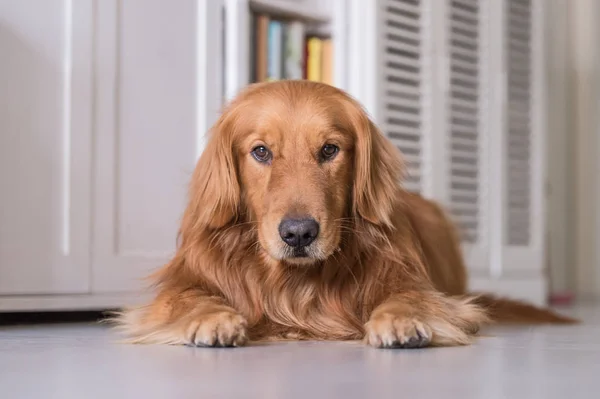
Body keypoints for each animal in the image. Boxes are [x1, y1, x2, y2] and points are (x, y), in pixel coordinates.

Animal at [113, 79, 576, 348]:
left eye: (330, 150)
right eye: (260, 151)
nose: (299, 234)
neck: (293, 283)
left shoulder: (422, 288)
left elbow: (410, 296)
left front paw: (401, 319)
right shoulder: (182, 284)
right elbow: (186, 298)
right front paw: (211, 318)